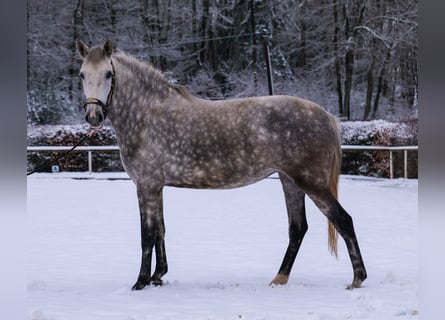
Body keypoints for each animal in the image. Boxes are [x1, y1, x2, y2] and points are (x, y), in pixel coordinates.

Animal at [77, 39, 368, 290]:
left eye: (108, 74)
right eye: (81, 74)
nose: (93, 115)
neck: (147, 114)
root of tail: (326, 116)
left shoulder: (146, 186)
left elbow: (146, 234)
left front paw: (140, 282)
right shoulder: (156, 187)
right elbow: (160, 230)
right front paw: (158, 277)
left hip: (311, 182)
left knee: (343, 220)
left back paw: (357, 279)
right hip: (290, 181)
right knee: (297, 228)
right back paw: (279, 278)